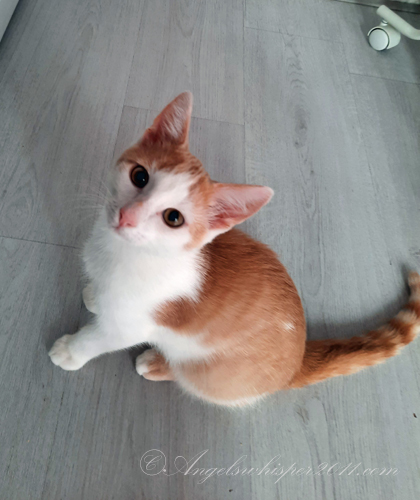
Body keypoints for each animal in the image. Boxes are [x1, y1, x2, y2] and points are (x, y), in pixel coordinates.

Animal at [49, 92, 420, 407]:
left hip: (209, 370)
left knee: (193, 377)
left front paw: (70, 351)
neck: (126, 252)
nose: (128, 215)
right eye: (139, 176)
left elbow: (98, 339)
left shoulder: (134, 323)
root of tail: (298, 361)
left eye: (173, 218)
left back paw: (157, 363)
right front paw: (95, 296)